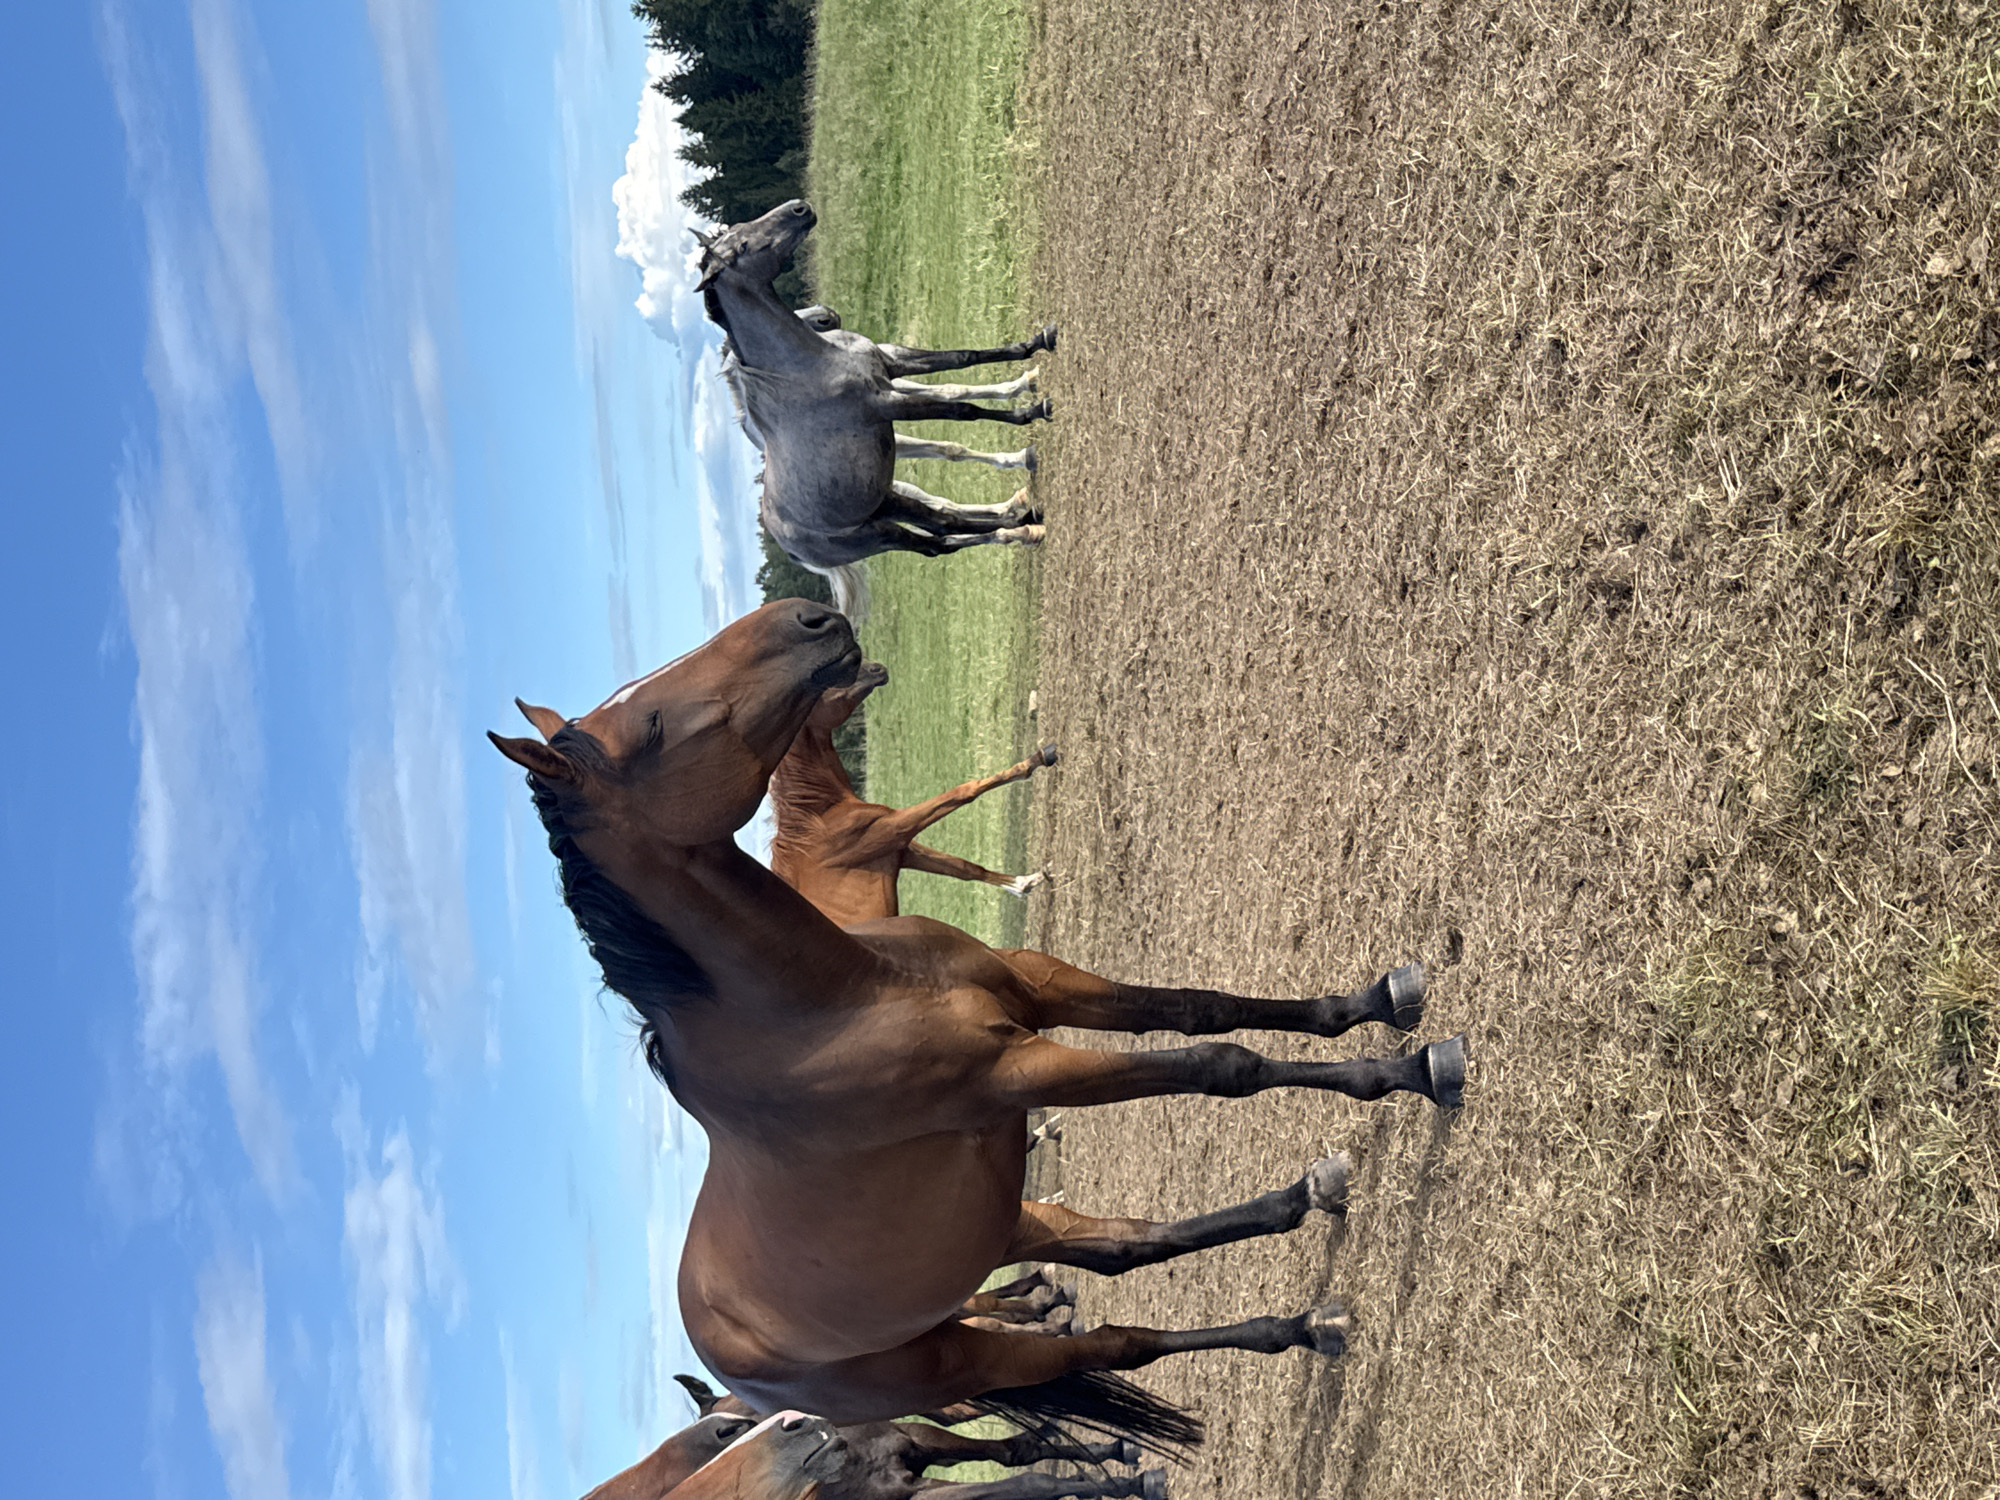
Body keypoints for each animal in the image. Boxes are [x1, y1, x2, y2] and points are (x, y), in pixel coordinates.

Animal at [697, 201, 1057, 613]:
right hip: (879, 535)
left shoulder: (894, 366)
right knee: (937, 542)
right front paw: (1032, 413)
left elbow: (964, 358)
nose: (799, 208)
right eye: (740, 247)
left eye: (740, 227)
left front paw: (1036, 345)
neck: (809, 364)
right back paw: (1023, 526)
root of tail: (792, 549)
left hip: (886, 502)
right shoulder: (888, 404)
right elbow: (963, 409)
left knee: (943, 523)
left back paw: (1024, 519)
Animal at [769, 666, 1055, 926]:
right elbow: (965, 791)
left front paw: (1026, 881)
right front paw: (1037, 759)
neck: (821, 817)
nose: (877, 669)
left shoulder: (901, 850)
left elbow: (964, 868)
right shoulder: (893, 829)